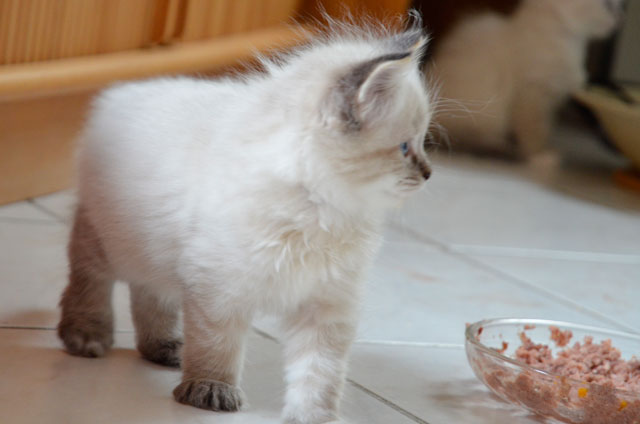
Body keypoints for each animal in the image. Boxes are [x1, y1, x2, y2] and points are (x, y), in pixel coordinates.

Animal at [57, 17, 432, 424]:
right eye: (405, 148)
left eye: (422, 143)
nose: (429, 173)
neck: (321, 210)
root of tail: (125, 91)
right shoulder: (219, 288)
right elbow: (217, 345)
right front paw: (210, 390)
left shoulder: (327, 302)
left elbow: (321, 372)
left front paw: (315, 416)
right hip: (106, 240)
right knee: (89, 281)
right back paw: (86, 336)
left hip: (153, 251)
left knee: (148, 293)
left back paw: (164, 348)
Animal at [429, 0, 623, 159]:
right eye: (608, 5)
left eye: (618, 6)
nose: (619, 19)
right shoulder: (532, 96)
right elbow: (535, 133)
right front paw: (542, 155)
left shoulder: (550, 102)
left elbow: (545, 129)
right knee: (465, 140)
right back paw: (501, 148)